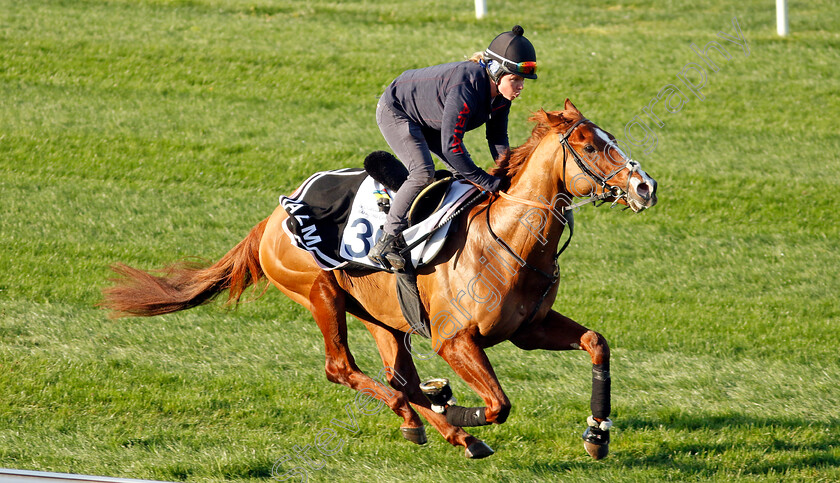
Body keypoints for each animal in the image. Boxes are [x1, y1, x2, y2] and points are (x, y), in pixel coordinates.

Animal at [103, 98, 656, 462]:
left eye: (610, 139)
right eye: (589, 145)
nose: (645, 187)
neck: (509, 240)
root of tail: (273, 217)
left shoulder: (529, 329)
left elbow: (596, 342)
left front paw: (597, 434)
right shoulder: (455, 340)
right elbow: (498, 404)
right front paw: (452, 404)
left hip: (380, 314)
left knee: (397, 376)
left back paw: (442, 424)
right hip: (322, 295)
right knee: (343, 369)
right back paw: (430, 418)